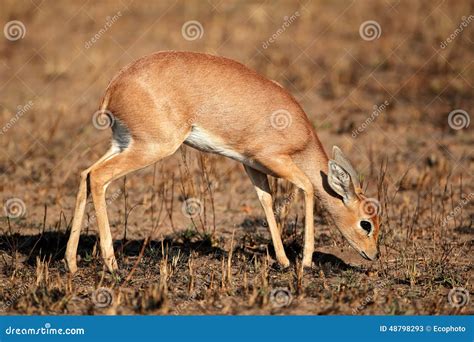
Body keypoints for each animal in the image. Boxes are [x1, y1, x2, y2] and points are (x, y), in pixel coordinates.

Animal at [64, 50, 382, 274]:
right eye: (366, 223)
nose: (374, 254)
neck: (299, 135)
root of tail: (115, 85)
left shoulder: (252, 165)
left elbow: (266, 202)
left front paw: (282, 261)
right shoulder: (275, 160)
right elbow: (308, 187)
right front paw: (304, 262)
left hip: (123, 144)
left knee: (86, 174)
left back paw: (71, 262)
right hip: (152, 147)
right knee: (99, 177)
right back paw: (111, 264)